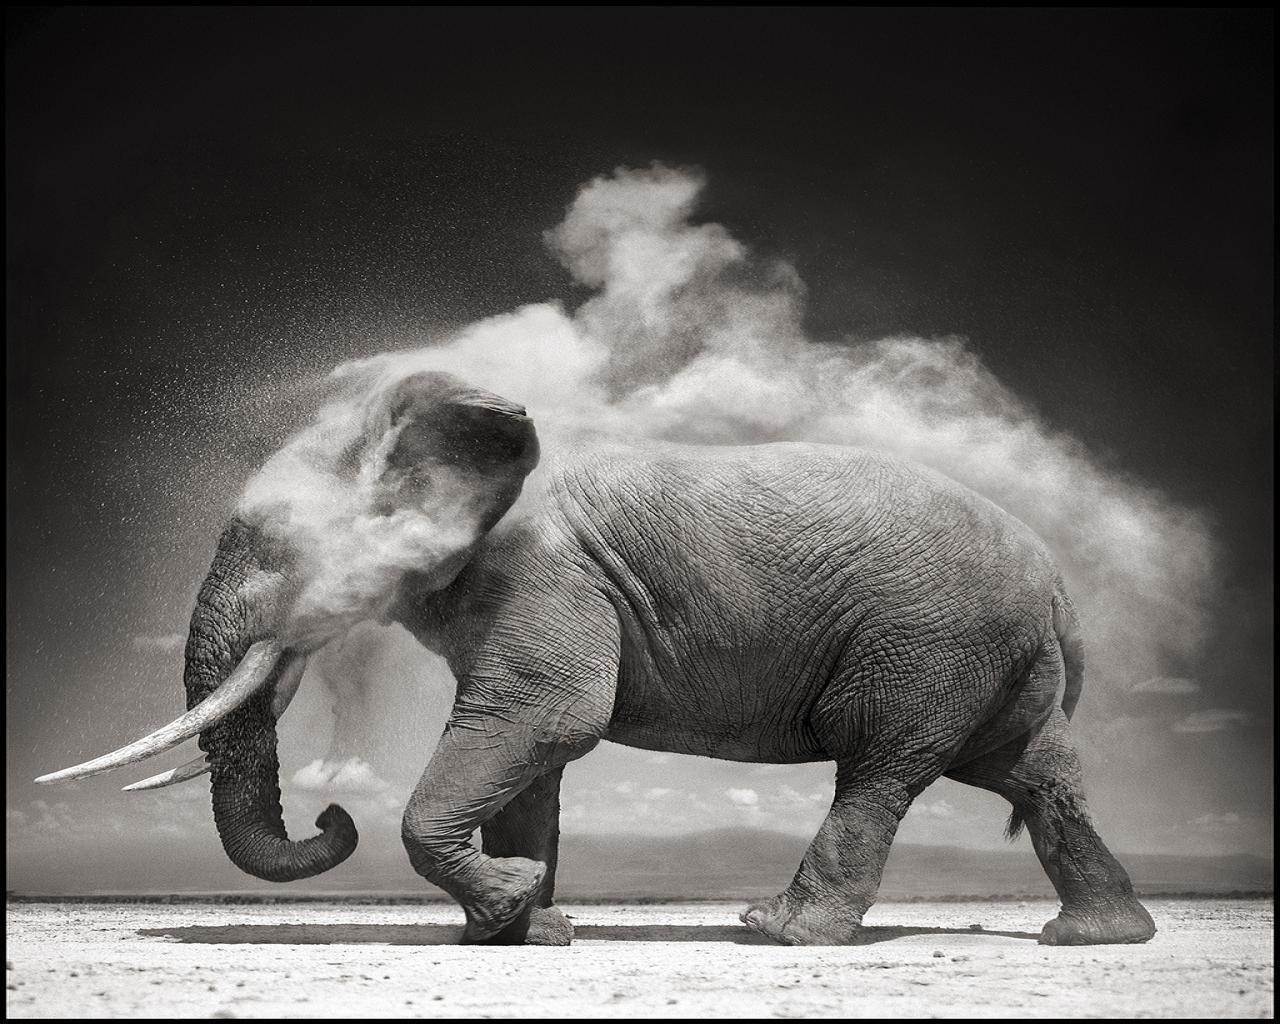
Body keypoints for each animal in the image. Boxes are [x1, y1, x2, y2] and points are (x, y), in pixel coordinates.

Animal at [38, 369, 1157, 948]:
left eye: (276, 548)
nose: (330, 816)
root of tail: (1058, 583)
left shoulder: (544, 575)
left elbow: (544, 719)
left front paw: (508, 905)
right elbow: (532, 758)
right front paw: (522, 925)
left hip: (928, 641)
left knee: (881, 767)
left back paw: (775, 931)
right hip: (988, 656)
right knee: (1030, 772)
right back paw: (1099, 937)